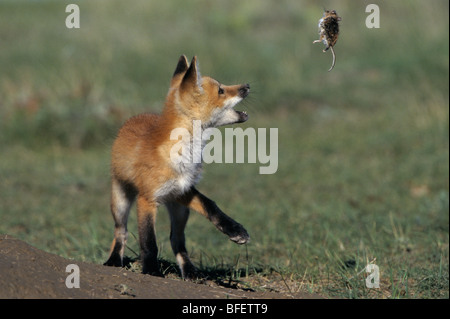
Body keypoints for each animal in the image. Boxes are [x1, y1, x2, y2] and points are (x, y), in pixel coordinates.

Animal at [105, 55, 251, 280]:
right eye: (221, 90)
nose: (247, 86)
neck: (184, 155)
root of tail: (135, 117)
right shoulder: (147, 199)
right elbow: (149, 242)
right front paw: (151, 270)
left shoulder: (184, 188)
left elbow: (211, 205)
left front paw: (235, 229)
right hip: (121, 200)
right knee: (121, 232)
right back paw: (113, 260)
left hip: (180, 209)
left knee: (177, 241)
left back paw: (190, 271)